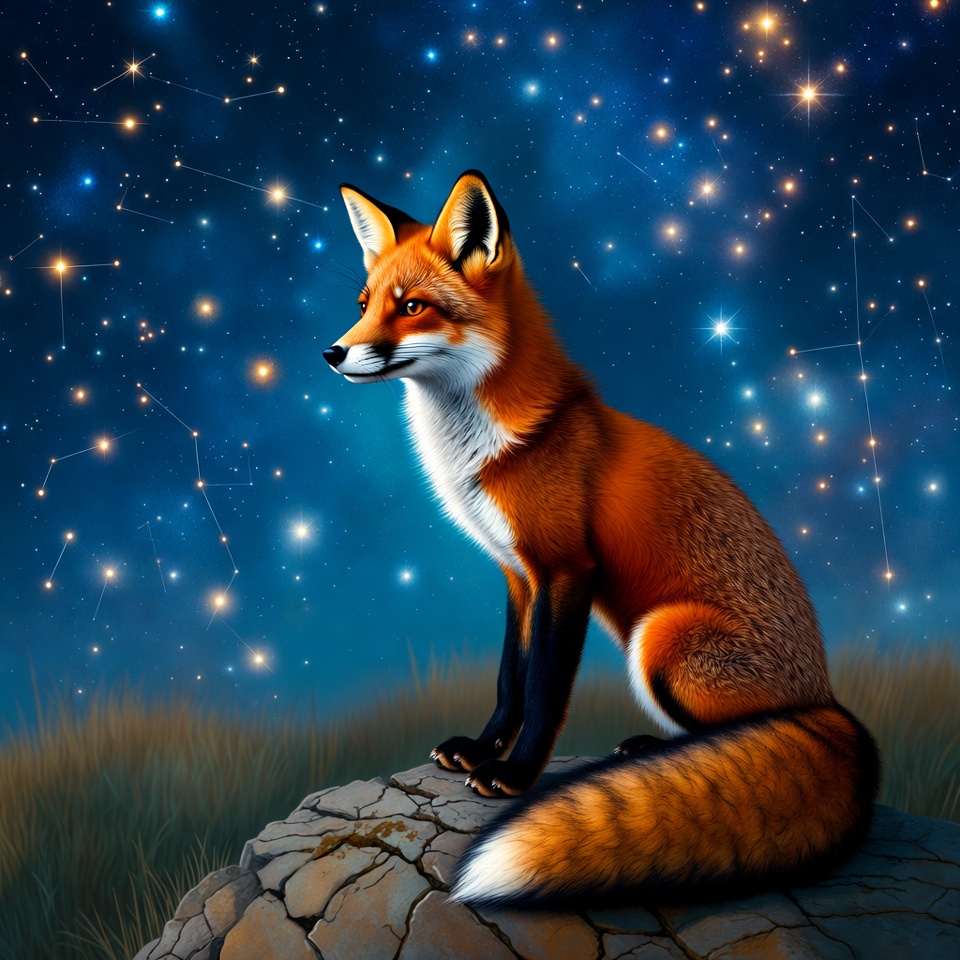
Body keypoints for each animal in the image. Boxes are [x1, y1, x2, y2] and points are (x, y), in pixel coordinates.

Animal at [323, 170, 880, 908]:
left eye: (412, 306)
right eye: (362, 304)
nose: (332, 352)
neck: (483, 450)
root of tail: (828, 702)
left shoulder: (566, 568)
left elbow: (545, 687)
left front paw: (514, 773)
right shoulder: (516, 574)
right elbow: (510, 679)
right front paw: (483, 748)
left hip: (663, 641)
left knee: (744, 734)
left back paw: (667, 758)